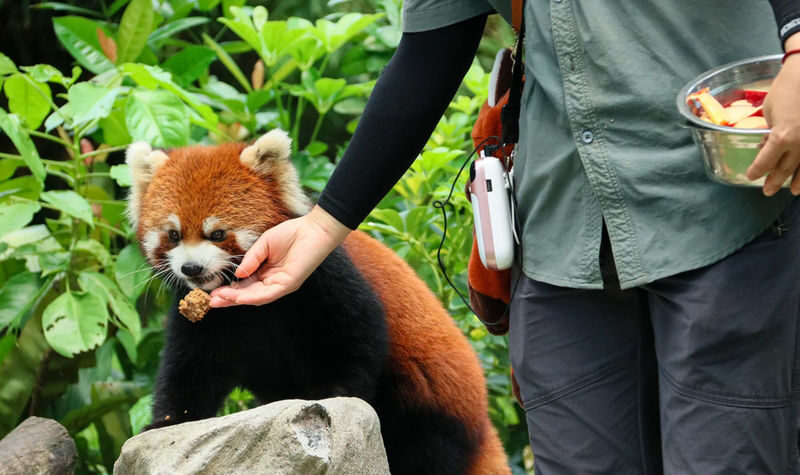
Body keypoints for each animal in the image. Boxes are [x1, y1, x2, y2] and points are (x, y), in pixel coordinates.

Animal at [126, 129, 510, 474]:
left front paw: (332, 391)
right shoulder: (210, 318)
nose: (191, 268)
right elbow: (192, 366)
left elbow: (359, 331)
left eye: (217, 234)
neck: (252, 307)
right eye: (173, 234)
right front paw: (167, 422)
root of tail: (483, 424)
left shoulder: (320, 274)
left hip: (429, 414)